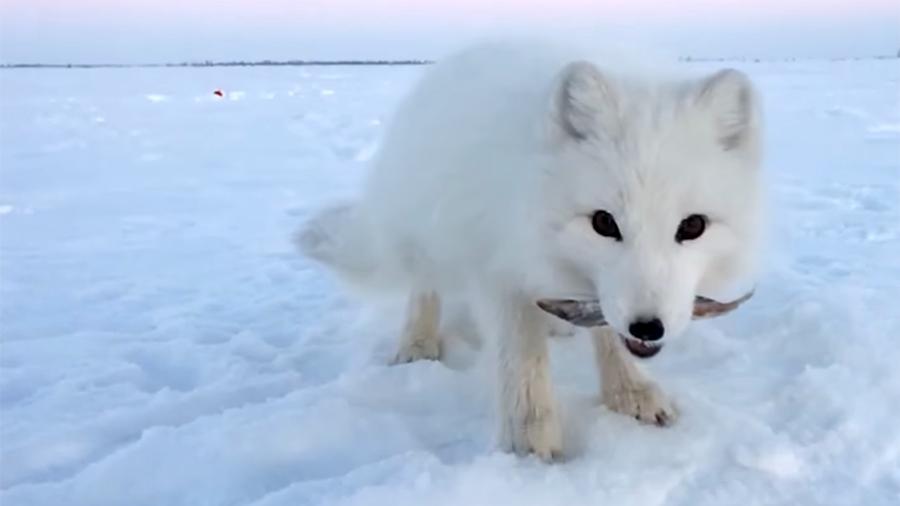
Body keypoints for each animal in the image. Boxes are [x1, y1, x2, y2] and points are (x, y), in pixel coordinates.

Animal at [298, 39, 764, 458]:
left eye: (692, 226)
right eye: (604, 222)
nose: (648, 328)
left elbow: (607, 334)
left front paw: (630, 392)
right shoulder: (497, 265)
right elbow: (521, 356)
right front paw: (529, 440)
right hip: (428, 232)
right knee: (424, 285)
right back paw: (417, 342)